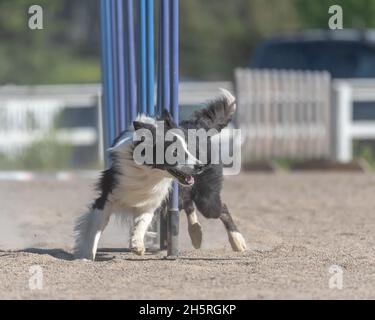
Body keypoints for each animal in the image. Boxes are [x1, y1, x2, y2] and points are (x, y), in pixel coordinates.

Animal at [75, 88, 248, 260]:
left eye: (189, 149)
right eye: (175, 151)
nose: (200, 166)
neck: (148, 172)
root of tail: (197, 126)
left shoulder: (152, 199)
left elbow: (143, 220)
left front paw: (137, 244)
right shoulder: (108, 195)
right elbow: (95, 227)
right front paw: (86, 255)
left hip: (207, 200)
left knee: (221, 208)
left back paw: (237, 241)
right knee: (189, 204)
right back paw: (196, 234)